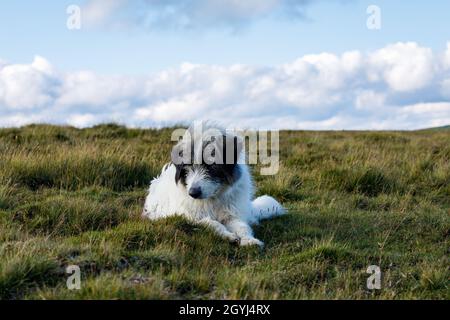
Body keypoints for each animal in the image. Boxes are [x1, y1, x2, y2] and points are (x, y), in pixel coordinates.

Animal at [142, 122, 284, 248]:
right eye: (188, 167)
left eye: (211, 165)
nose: (193, 193)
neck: (212, 199)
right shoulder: (191, 216)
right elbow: (212, 223)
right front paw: (228, 235)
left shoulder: (231, 215)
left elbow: (242, 227)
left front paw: (249, 240)